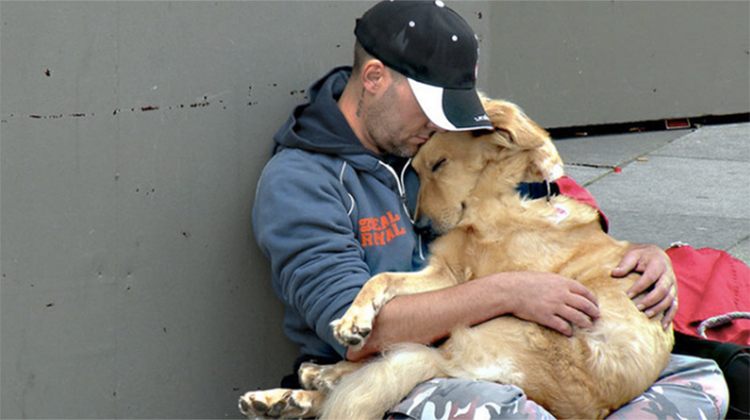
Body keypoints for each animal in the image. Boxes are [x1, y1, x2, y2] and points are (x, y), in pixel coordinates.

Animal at [241, 99, 676, 420]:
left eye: (439, 163)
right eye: (415, 169)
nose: (421, 227)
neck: (501, 196)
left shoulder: (465, 281)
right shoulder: (446, 274)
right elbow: (380, 280)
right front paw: (354, 318)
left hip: (489, 328)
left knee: (376, 370)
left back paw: (310, 382)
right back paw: (289, 394)